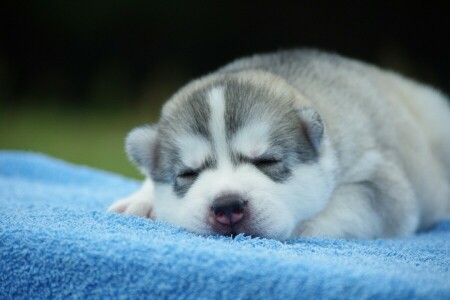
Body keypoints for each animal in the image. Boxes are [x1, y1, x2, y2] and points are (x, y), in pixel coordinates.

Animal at [108, 50, 450, 240]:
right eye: (188, 174)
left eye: (267, 162)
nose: (227, 206)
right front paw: (141, 199)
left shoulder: (382, 182)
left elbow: (349, 206)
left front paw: (303, 227)